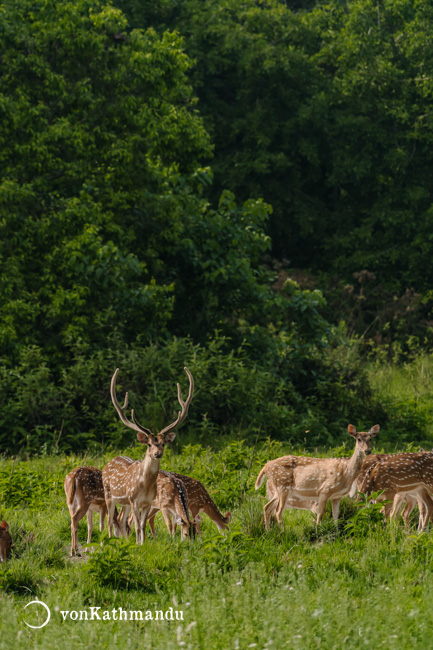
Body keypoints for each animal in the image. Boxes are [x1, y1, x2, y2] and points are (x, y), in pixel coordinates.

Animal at [102, 364, 193, 540]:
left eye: (163, 443)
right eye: (149, 444)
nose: (157, 453)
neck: (144, 486)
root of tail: (107, 464)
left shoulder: (148, 502)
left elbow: (142, 526)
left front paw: (141, 543)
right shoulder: (134, 500)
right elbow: (137, 526)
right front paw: (138, 543)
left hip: (125, 502)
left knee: (121, 519)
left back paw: (124, 541)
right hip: (109, 493)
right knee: (110, 520)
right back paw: (109, 540)